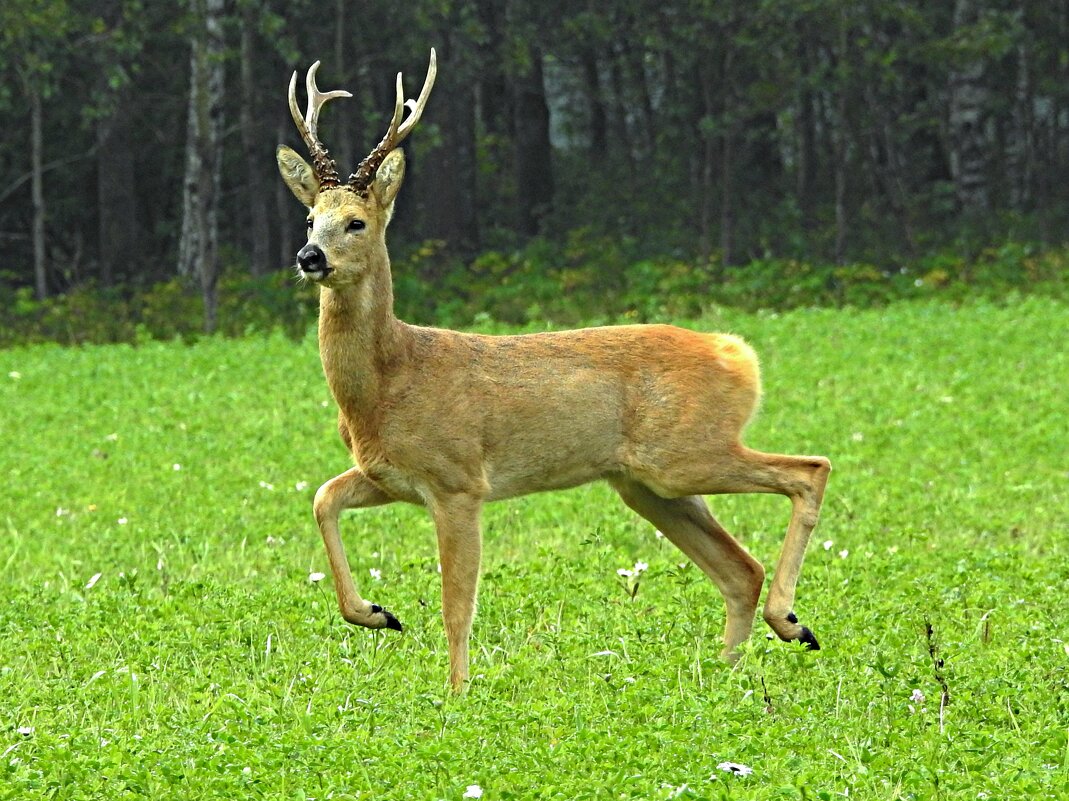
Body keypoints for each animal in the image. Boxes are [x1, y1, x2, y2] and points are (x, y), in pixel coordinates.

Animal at [277, 49, 833, 688]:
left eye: (356, 222)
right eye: (309, 217)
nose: (309, 257)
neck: (387, 384)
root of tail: (736, 352)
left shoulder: (459, 479)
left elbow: (456, 605)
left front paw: (457, 694)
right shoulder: (389, 475)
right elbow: (323, 498)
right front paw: (376, 613)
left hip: (684, 452)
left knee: (809, 470)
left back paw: (790, 622)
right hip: (647, 484)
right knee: (740, 567)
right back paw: (731, 673)